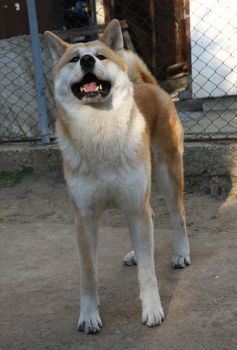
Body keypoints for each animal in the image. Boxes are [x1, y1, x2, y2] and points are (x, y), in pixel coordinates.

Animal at [45, 18, 191, 334]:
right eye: (74, 59)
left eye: (100, 56)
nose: (87, 60)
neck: (100, 133)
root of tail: (149, 85)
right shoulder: (85, 218)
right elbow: (88, 274)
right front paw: (89, 315)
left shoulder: (136, 205)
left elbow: (148, 273)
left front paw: (152, 309)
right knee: (150, 224)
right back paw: (137, 253)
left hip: (166, 175)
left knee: (178, 218)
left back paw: (181, 253)